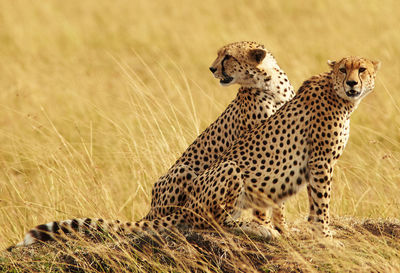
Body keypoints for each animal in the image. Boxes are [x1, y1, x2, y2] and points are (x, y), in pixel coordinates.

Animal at [12, 41, 296, 246]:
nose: (212, 69)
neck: (270, 85)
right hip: (192, 171)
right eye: (220, 55)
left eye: (227, 56)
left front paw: (282, 226)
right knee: (207, 221)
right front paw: (266, 227)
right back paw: (247, 227)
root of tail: (151, 209)